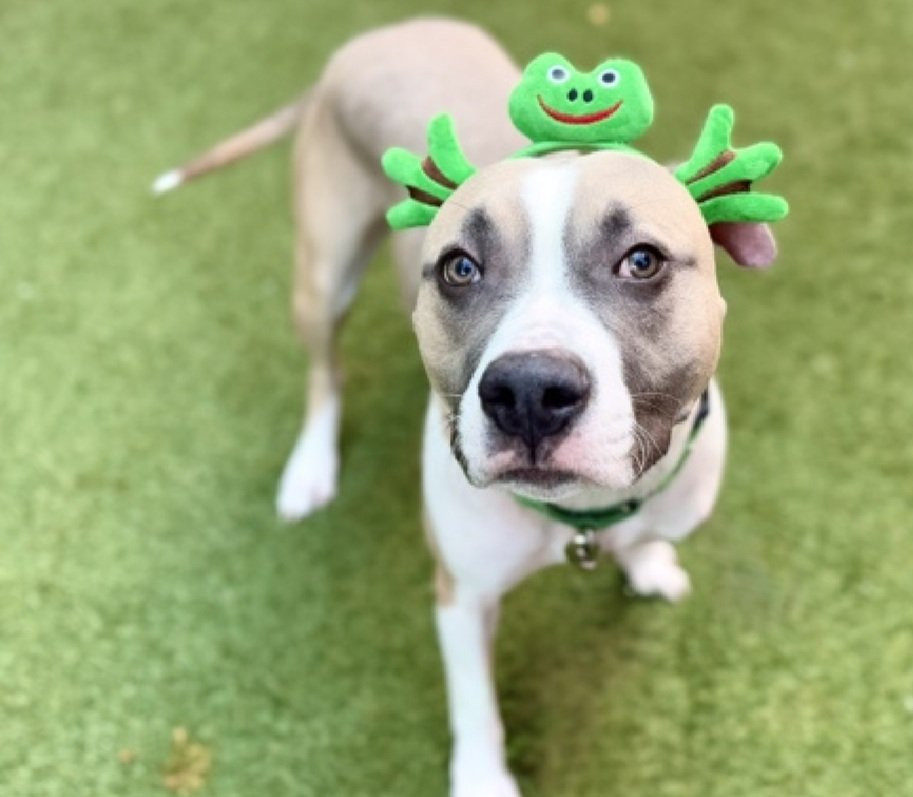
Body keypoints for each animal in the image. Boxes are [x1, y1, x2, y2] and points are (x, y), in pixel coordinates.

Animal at [154, 18, 780, 797]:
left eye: (641, 260)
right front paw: (484, 778)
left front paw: (645, 562)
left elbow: (641, 537)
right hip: (323, 276)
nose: (529, 393)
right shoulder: (462, 593)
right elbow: (476, 702)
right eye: (459, 267)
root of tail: (363, 43)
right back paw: (310, 467)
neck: (581, 518)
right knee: (325, 371)